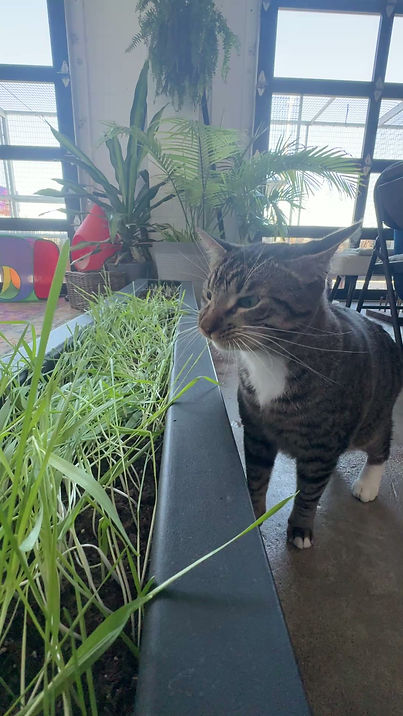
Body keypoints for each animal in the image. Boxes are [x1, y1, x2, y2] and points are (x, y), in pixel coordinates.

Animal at [197, 225, 403, 549]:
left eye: (248, 301)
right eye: (208, 295)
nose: (204, 326)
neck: (269, 359)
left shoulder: (322, 445)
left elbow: (309, 492)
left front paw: (301, 527)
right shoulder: (256, 432)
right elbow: (256, 476)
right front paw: (253, 517)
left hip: (370, 421)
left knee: (381, 442)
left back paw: (368, 483)